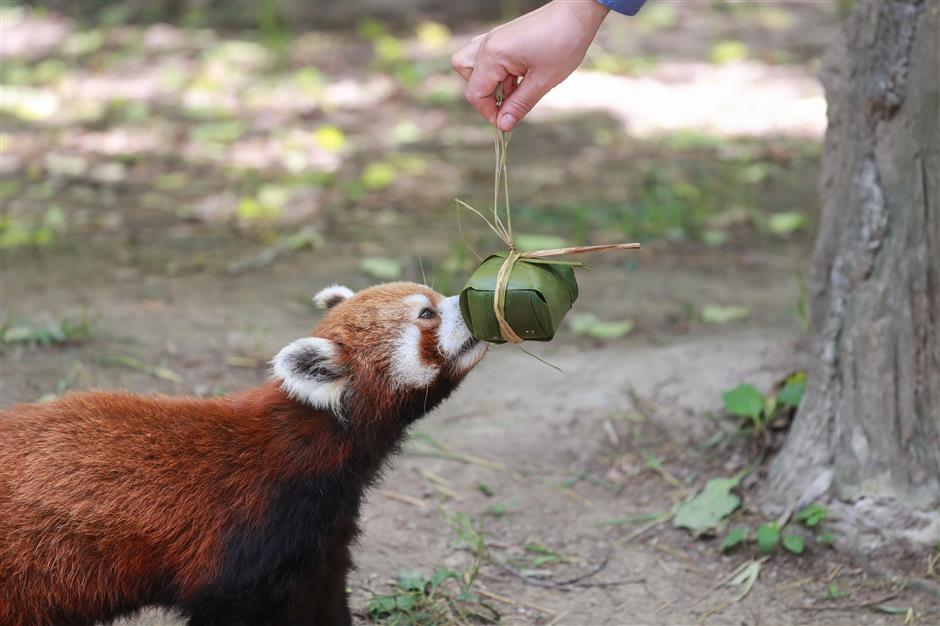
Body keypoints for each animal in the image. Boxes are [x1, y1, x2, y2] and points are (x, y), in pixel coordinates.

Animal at [0, 282, 484, 624]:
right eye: (427, 313)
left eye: (434, 298)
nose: (468, 300)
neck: (313, 450)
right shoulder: (246, 539)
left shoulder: (323, 540)